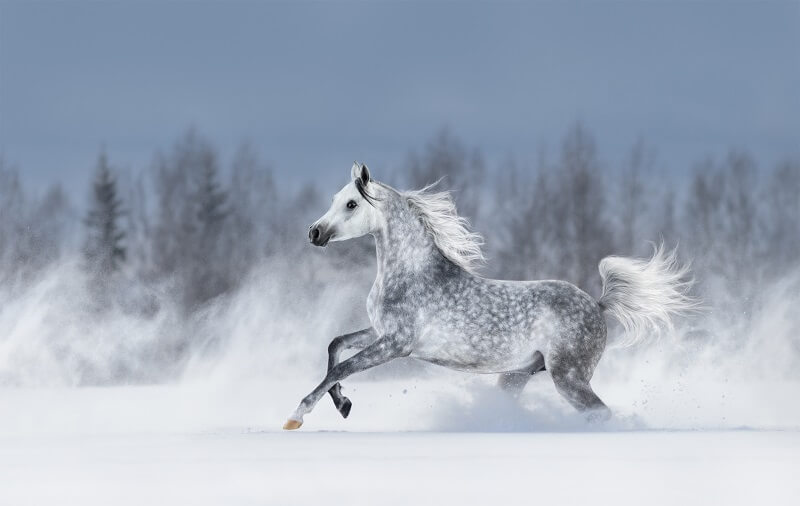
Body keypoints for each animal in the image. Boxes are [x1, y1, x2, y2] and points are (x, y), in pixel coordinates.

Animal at [282, 163, 692, 430]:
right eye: (336, 199)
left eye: (351, 204)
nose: (313, 232)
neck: (410, 273)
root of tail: (598, 304)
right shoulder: (379, 332)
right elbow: (335, 346)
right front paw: (344, 404)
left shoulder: (396, 344)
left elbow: (341, 366)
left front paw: (296, 416)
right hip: (517, 375)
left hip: (569, 377)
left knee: (600, 413)